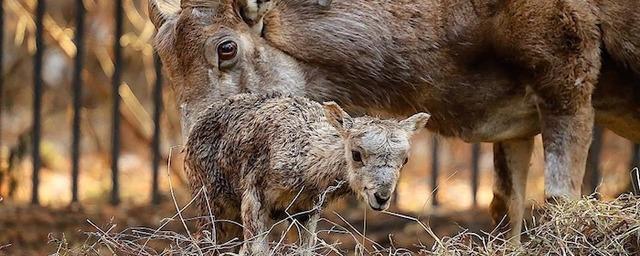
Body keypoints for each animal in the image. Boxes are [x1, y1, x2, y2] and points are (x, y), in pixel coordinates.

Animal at [150, 0, 640, 242]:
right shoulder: (516, 126)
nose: (198, 156)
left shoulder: (568, 82)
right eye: (162, 54)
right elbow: (507, 208)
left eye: (226, 47)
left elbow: (559, 200)